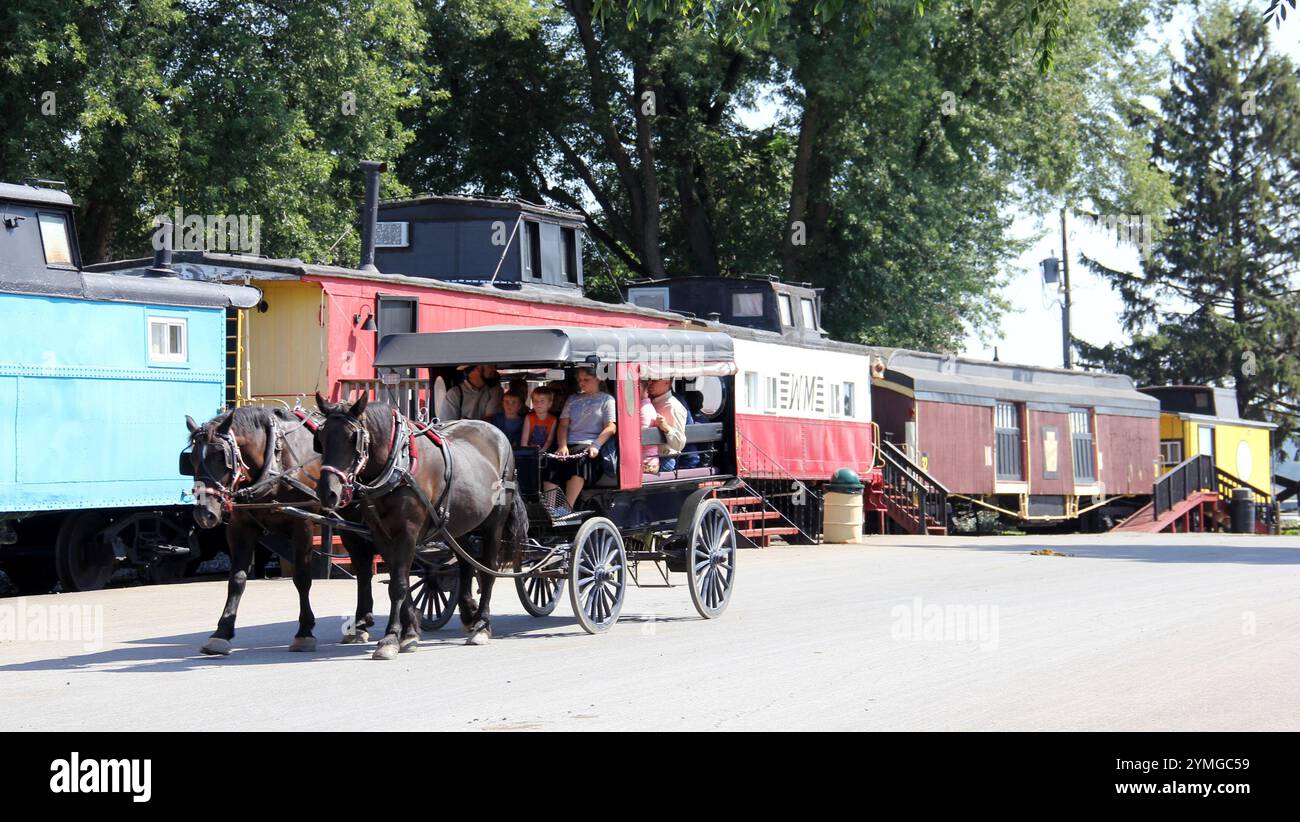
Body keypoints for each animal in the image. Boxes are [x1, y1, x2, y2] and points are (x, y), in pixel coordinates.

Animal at [184, 408, 377, 658]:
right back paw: (361, 623)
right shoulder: (240, 527)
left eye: (221, 457)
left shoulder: (302, 525)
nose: (204, 514)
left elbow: (302, 578)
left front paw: (304, 632)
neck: (275, 463)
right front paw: (221, 633)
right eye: (192, 460)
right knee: (363, 569)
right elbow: (236, 579)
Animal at [314, 392, 527, 660]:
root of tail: (498, 434)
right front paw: (410, 632)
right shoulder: (381, 534)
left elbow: (398, 585)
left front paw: (390, 638)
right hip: (458, 524)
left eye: (353, 438)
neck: (398, 465)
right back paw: (470, 615)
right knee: (466, 562)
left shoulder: (407, 532)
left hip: (494, 522)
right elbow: (400, 580)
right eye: (321, 438)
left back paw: (481, 626)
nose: (328, 492)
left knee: (488, 569)